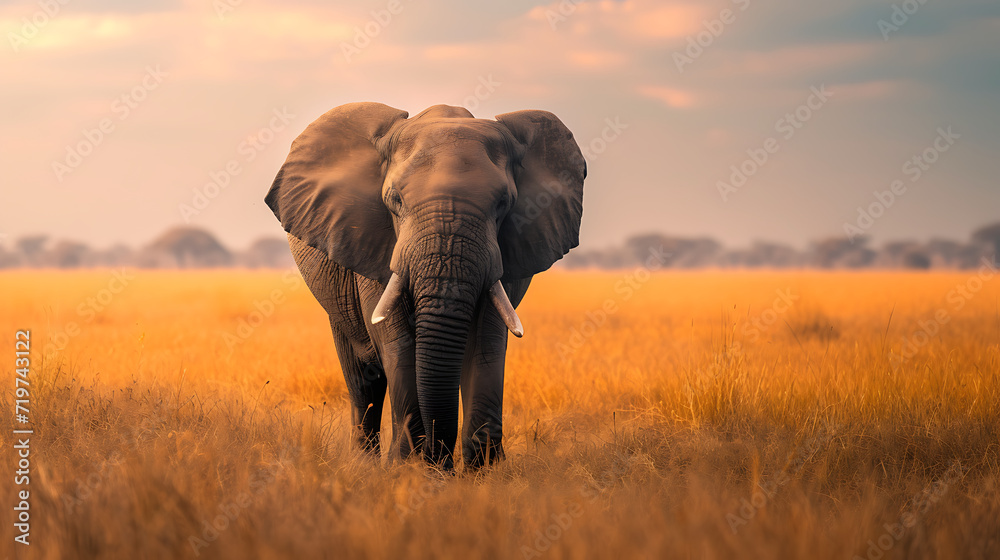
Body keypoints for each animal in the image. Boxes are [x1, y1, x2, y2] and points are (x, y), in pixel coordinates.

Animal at [264, 102, 585, 470]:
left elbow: (487, 340)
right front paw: (409, 469)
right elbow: (397, 341)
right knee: (362, 378)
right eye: (395, 201)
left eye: (504, 203)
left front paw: (485, 472)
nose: (441, 462)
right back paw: (364, 464)